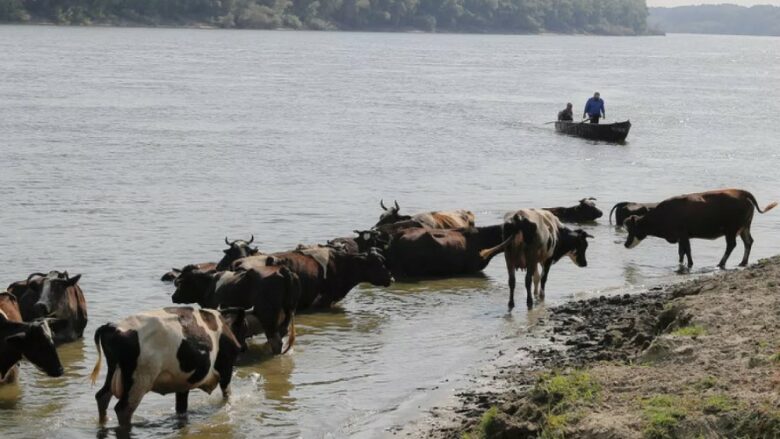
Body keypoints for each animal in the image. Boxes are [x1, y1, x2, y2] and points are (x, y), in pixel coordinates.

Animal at [88, 308, 248, 428]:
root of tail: (112, 327)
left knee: (102, 397)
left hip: (114, 372)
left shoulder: (183, 383)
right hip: (140, 380)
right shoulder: (226, 368)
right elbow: (227, 396)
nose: (244, 348)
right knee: (123, 409)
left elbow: (181, 409)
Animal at [172, 264, 300, 354]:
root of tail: (282, 270)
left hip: (268, 318)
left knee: (276, 342)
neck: (210, 285)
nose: (173, 297)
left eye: (182, 282)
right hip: (287, 315)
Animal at [624, 188, 776, 268]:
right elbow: (681, 252)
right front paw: (681, 264)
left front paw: (690, 264)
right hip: (744, 227)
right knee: (748, 242)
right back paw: (743, 262)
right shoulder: (681, 237)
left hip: (731, 229)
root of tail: (742, 192)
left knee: (732, 245)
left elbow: (687, 251)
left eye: (632, 229)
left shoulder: (683, 234)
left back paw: (721, 263)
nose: (625, 244)